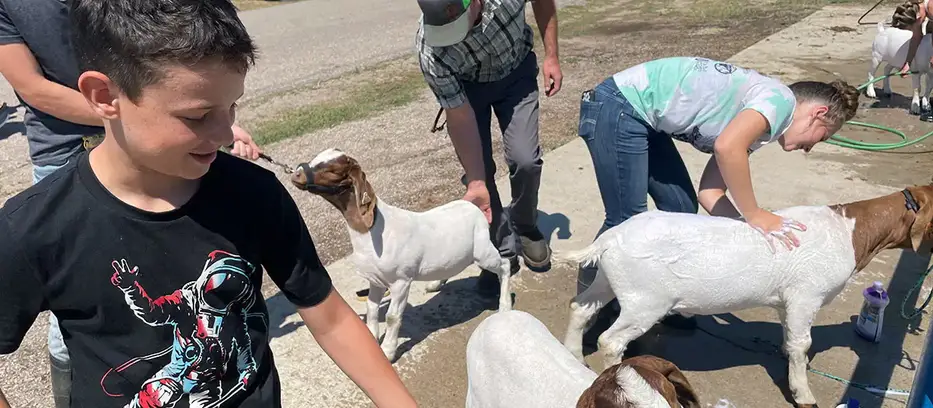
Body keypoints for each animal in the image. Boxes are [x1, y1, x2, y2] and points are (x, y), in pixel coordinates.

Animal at [289, 148, 513, 362]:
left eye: (333, 169)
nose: (296, 174)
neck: (374, 230)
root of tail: (473, 207)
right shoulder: (376, 281)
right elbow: (371, 309)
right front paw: (372, 340)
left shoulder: (400, 281)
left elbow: (392, 316)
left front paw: (388, 351)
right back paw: (436, 284)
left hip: (483, 250)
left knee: (504, 265)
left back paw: (505, 306)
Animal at [555, 182, 933, 408]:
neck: (850, 231)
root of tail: (610, 239)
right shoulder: (806, 295)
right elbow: (803, 344)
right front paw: (803, 393)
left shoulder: (787, 300)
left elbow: (790, 337)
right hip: (645, 298)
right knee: (610, 340)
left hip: (610, 280)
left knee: (581, 307)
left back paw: (573, 354)